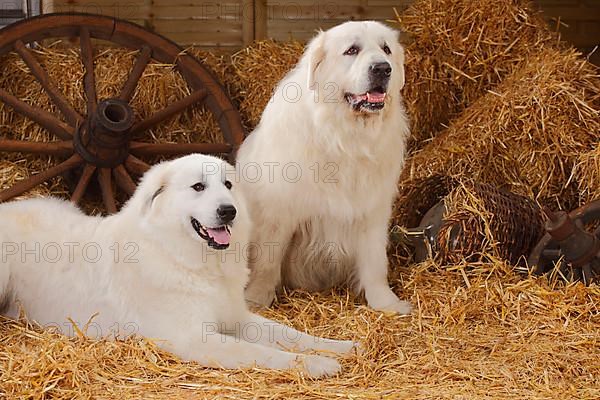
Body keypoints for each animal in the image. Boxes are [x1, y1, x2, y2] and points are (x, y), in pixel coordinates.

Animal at [0, 155, 356, 376]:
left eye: (228, 186)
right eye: (198, 187)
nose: (228, 211)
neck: (183, 257)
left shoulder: (236, 317)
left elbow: (291, 334)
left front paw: (340, 346)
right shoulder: (195, 338)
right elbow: (267, 353)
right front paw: (317, 365)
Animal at [238, 21, 412, 316]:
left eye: (386, 49)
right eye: (352, 50)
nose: (382, 68)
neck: (344, 137)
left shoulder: (372, 210)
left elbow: (375, 262)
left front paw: (386, 303)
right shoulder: (278, 213)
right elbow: (267, 262)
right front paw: (256, 301)